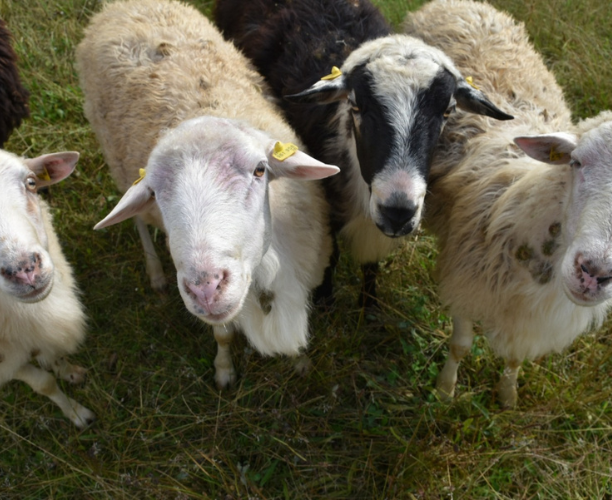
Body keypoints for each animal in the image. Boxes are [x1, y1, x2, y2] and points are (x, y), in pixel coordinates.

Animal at [0, 147, 94, 426]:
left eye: (31, 182)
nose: (24, 270)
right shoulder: (5, 362)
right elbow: (44, 384)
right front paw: (77, 414)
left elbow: (54, 356)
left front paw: (71, 372)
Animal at [76, 0, 340, 388]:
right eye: (155, 191)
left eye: (260, 170)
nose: (205, 287)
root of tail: (123, 5)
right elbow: (223, 334)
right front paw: (224, 370)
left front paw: (300, 362)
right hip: (117, 163)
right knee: (138, 222)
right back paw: (155, 273)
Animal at [214, 0, 512, 306]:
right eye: (356, 105)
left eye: (448, 110)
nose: (398, 212)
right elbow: (332, 253)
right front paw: (325, 299)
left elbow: (371, 265)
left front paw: (369, 304)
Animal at [404, 0, 612, 406]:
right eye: (576, 162)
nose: (594, 273)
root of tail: (464, 5)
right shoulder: (467, 282)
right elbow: (461, 345)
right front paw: (445, 391)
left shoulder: (528, 319)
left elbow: (515, 358)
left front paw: (507, 397)